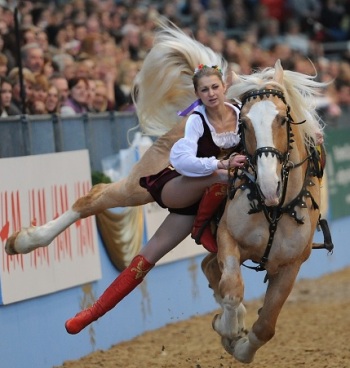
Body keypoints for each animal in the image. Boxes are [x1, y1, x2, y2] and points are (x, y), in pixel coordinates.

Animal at [200, 59, 330, 364]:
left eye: (282, 119)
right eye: (244, 123)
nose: (269, 185)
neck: (275, 208)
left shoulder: (292, 265)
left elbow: (266, 325)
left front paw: (241, 347)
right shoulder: (227, 237)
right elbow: (232, 290)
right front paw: (229, 328)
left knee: (209, 267)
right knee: (211, 269)